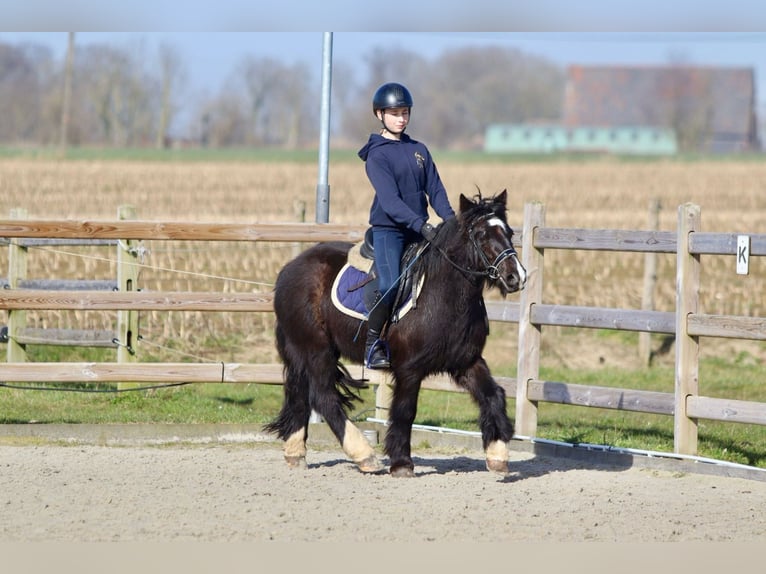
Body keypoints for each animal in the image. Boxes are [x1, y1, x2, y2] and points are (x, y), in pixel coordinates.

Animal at [266, 189, 528, 476]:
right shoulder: (409, 369)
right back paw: (364, 455)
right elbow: (405, 411)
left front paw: (498, 454)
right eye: (480, 234)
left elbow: (494, 395)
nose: (516, 276)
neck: (444, 296)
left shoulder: (467, 361)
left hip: (305, 349)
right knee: (324, 397)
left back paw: (296, 453)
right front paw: (402, 463)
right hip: (316, 349)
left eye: (509, 232)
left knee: (300, 393)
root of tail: (288, 270)